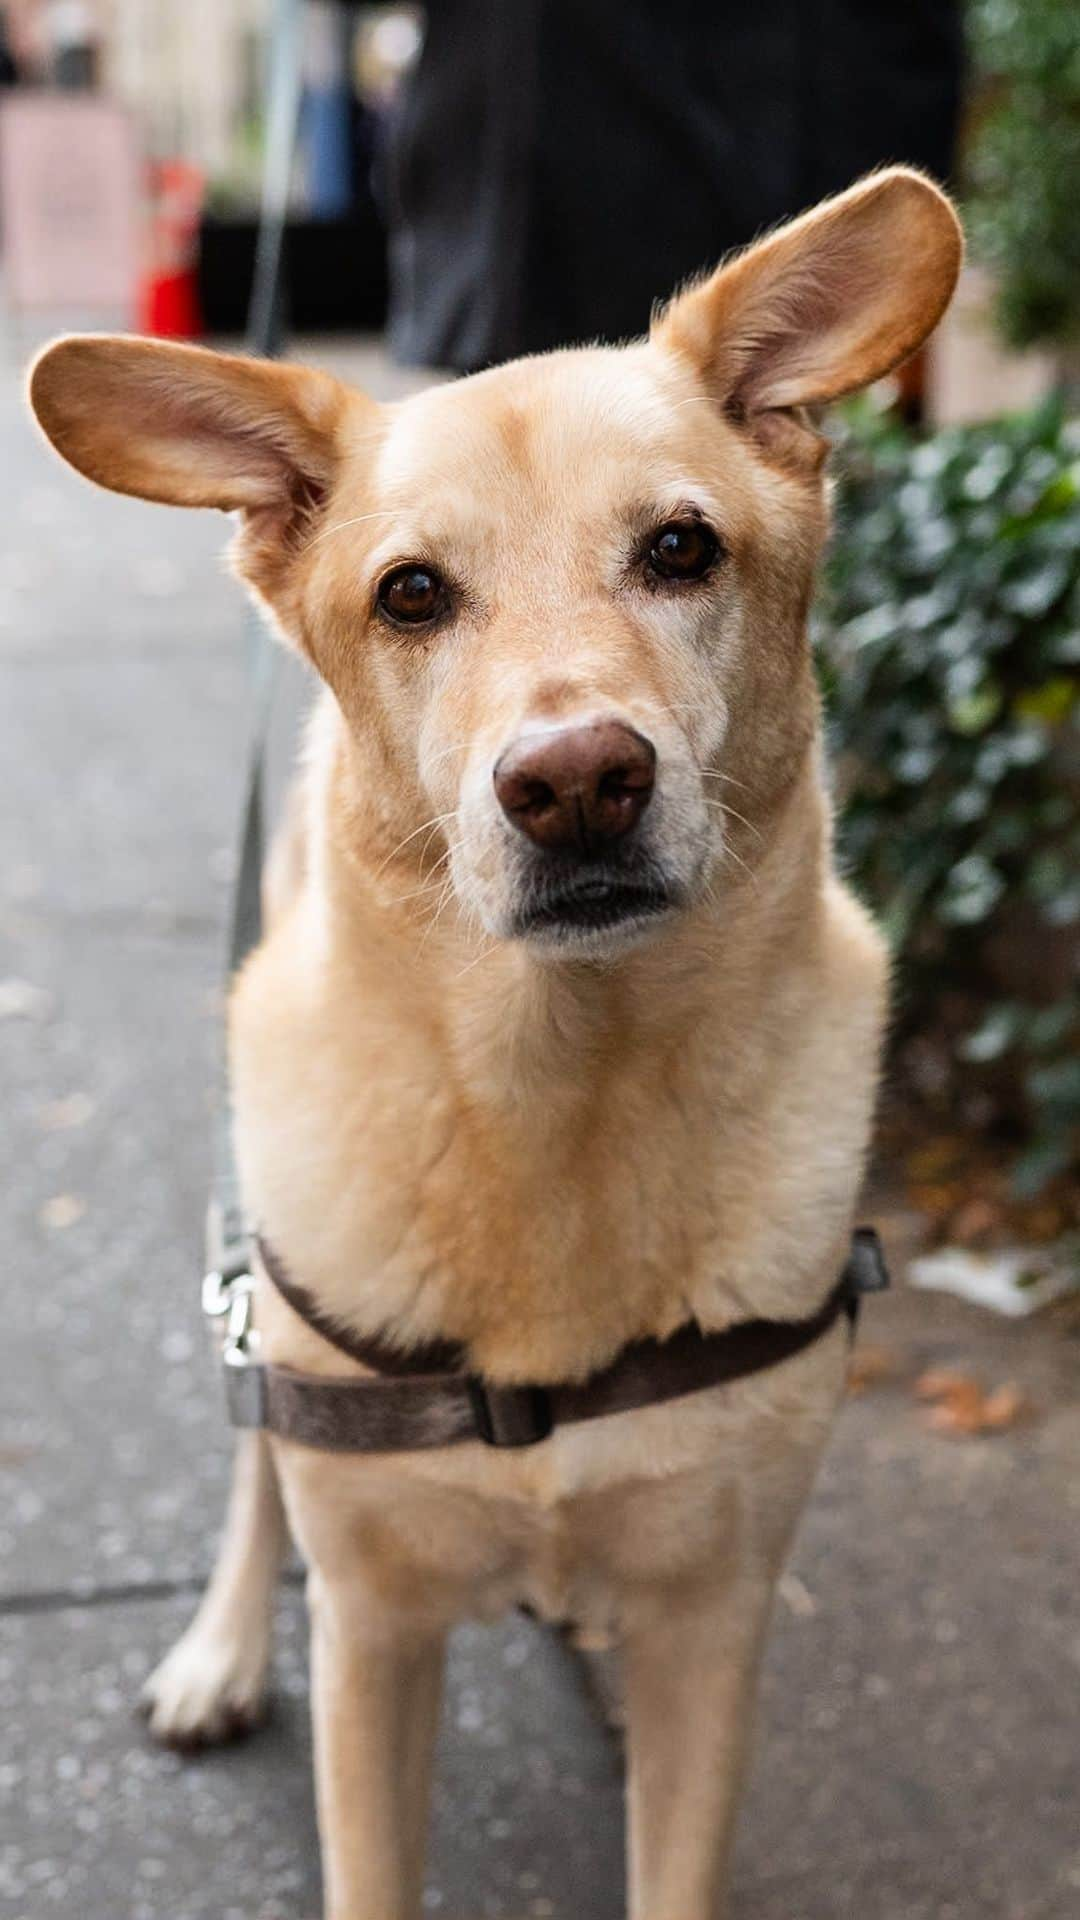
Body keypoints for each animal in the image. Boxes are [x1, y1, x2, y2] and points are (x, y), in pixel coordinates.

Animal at [31, 168, 957, 1920]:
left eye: (681, 549)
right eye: (411, 593)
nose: (578, 781)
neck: (557, 1094)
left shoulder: (713, 1630)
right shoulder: (377, 1637)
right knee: (252, 1462)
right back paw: (219, 1653)